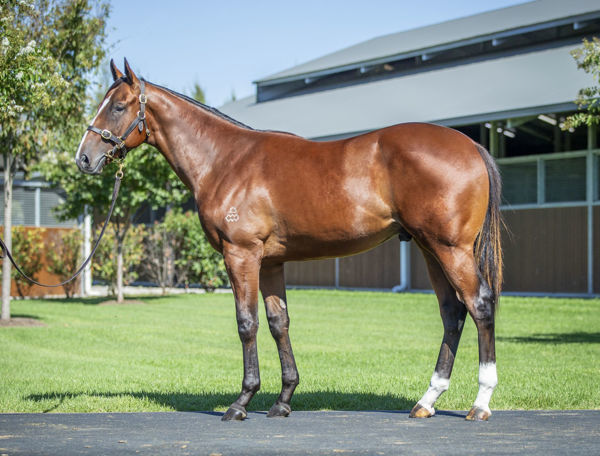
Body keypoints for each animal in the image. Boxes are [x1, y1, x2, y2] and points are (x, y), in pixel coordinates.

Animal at [77, 59, 504, 420]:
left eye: (118, 106)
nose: (84, 158)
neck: (225, 160)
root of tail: (470, 145)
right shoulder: (270, 262)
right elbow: (278, 322)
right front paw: (283, 400)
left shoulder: (241, 255)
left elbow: (246, 323)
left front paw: (241, 402)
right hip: (430, 249)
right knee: (452, 313)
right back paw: (426, 401)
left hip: (450, 249)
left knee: (480, 306)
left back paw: (480, 402)